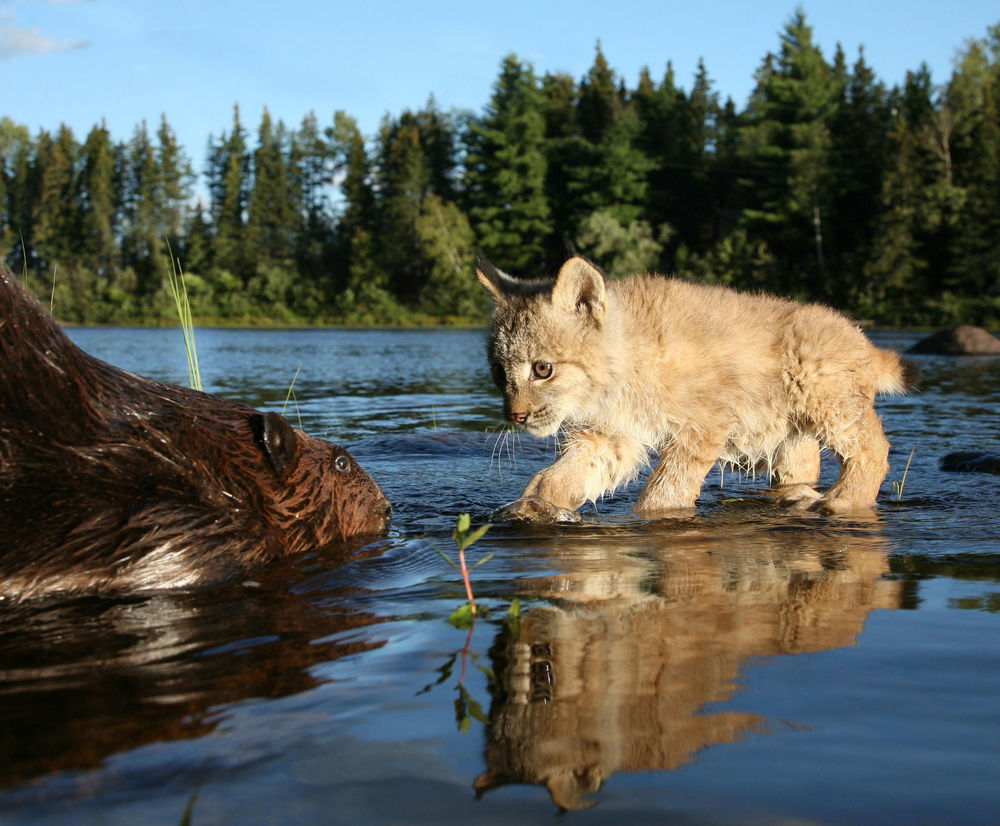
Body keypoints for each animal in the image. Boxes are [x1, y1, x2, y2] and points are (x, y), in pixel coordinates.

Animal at [476, 254, 916, 520]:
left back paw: (841, 502)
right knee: (803, 465)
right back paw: (795, 497)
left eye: (543, 369)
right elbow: (560, 475)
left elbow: (666, 487)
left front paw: (653, 517)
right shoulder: (610, 436)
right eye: (498, 371)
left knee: (874, 447)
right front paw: (533, 505)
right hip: (791, 434)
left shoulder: (704, 424)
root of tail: (859, 334)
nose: (515, 416)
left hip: (824, 398)